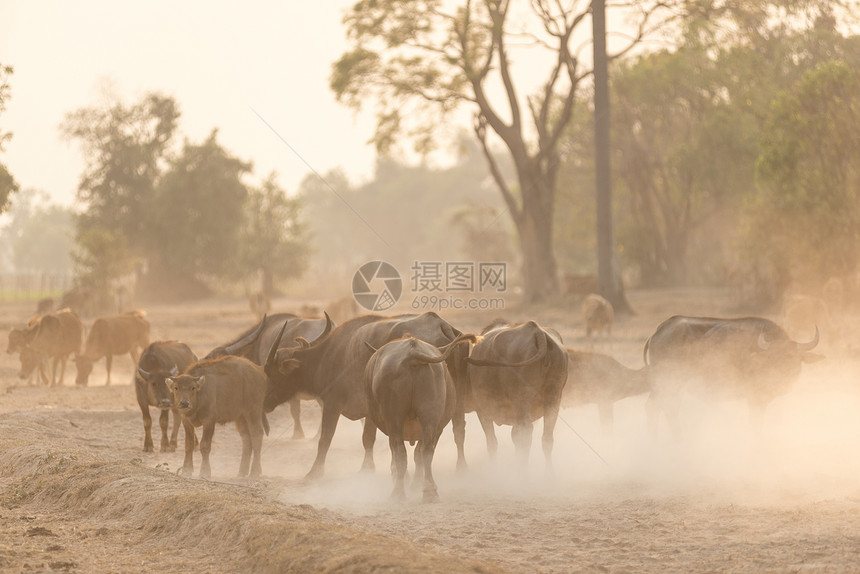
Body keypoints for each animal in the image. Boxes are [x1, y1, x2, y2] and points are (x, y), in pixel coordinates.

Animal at [268, 312, 470, 480]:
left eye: (270, 372)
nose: (266, 402)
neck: (327, 355)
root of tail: (441, 324)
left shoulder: (333, 404)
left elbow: (326, 438)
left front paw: (315, 472)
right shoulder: (370, 410)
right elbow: (369, 438)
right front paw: (372, 468)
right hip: (454, 399)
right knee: (457, 430)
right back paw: (460, 468)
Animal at [360, 336, 474, 502]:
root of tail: (412, 353)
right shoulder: (436, 427)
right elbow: (419, 453)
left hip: (394, 418)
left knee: (400, 451)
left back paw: (398, 492)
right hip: (429, 414)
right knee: (426, 450)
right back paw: (429, 491)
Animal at [466, 322, 568, 470]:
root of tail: (537, 332)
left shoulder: (482, 410)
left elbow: (492, 442)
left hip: (521, 399)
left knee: (525, 432)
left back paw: (522, 470)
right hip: (553, 396)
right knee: (546, 437)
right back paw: (548, 473)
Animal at [644, 318, 820, 434]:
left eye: (792, 356)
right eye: (772, 357)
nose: (782, 374)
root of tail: (660, 329)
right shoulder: (756, 398)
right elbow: (755, 425)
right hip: (671, 384)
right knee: (661, 408)